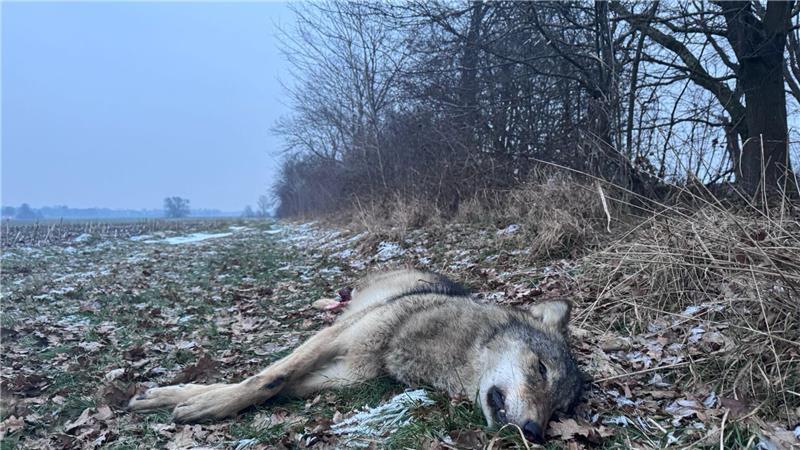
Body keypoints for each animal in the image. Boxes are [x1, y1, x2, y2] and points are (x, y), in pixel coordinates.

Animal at [129, 269, 583, 443]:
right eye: (540, 369)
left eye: (559, 411)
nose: (534, 433)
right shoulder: (331, 339)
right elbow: (265, 379)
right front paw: (199, 404)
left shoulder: (339, 374)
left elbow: (267, 386)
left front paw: (183, 396)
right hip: (346, 312)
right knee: (337, 302)